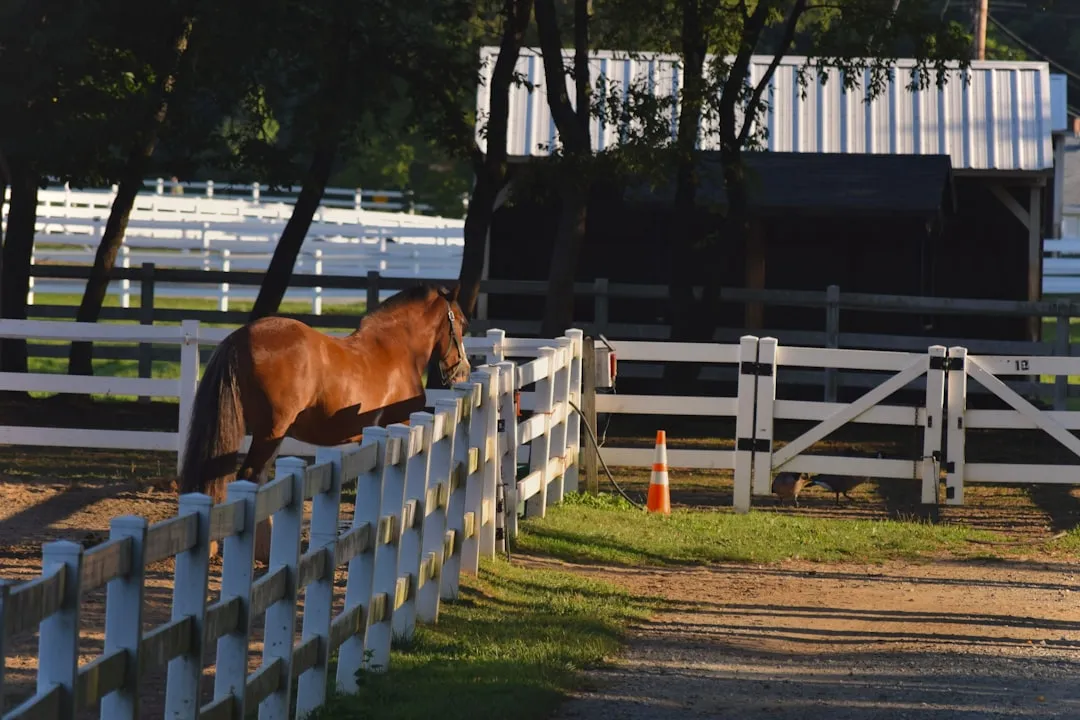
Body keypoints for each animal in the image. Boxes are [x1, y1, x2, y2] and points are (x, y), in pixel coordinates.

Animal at [179, 280, 470, 557]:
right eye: (461, 323)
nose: (462, 371)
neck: (397, 350)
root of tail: (238, 338)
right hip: (270, 433)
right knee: (250, 477)